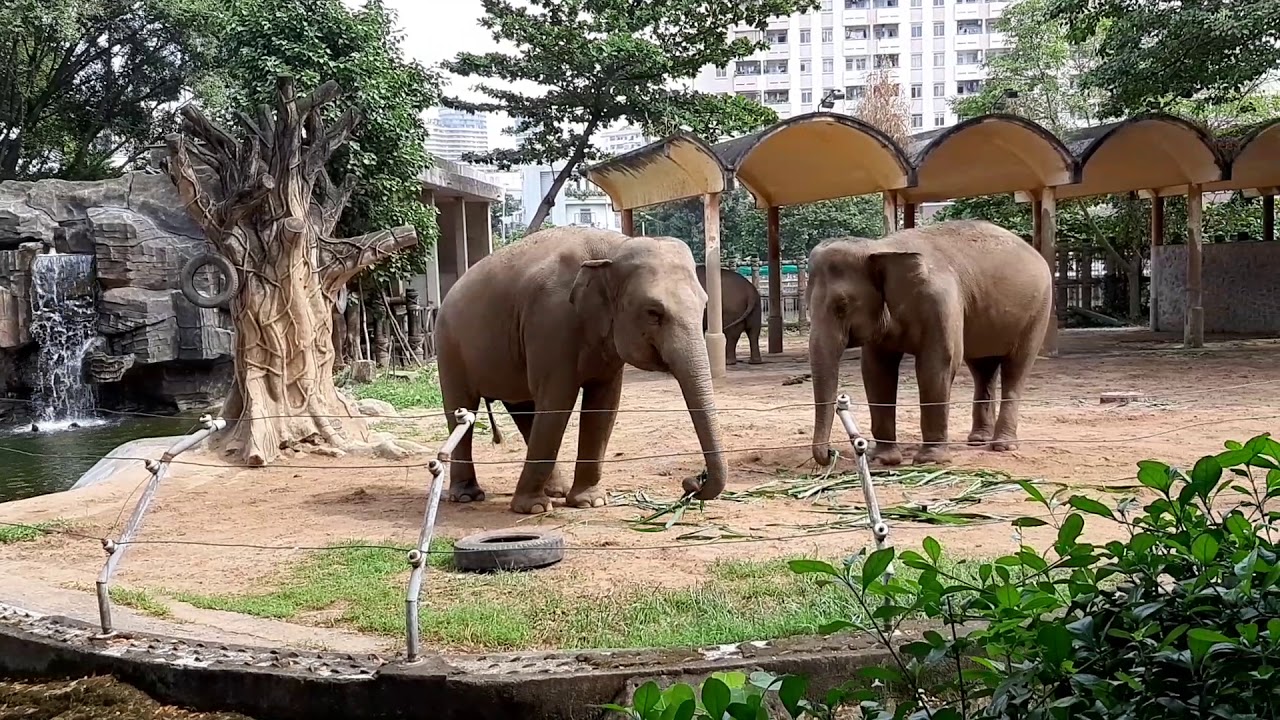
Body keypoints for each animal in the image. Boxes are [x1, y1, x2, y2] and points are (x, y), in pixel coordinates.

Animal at [432, 226, 727, 512]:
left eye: (704, 304)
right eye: (654, 313)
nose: (692, 482)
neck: (614, 248)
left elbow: (603, 406)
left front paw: (590, 502)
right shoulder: (551, 321)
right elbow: (558, 401)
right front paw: (534, 508)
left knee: (524, 410)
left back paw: (556, 491)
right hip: (449, 347)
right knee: (462, 409)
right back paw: (468, 496)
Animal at [808, 219, 1049, 466]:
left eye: (842, 306)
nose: (830, 453)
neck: (881, 247)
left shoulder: (941, 302)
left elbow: (937, 365)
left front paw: (930, 461)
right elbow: (876, 371)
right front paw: (884, 459)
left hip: (1038, 312)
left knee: (1016, 367)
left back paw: (1002, 446)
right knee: (983, 368)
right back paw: (978, 440)